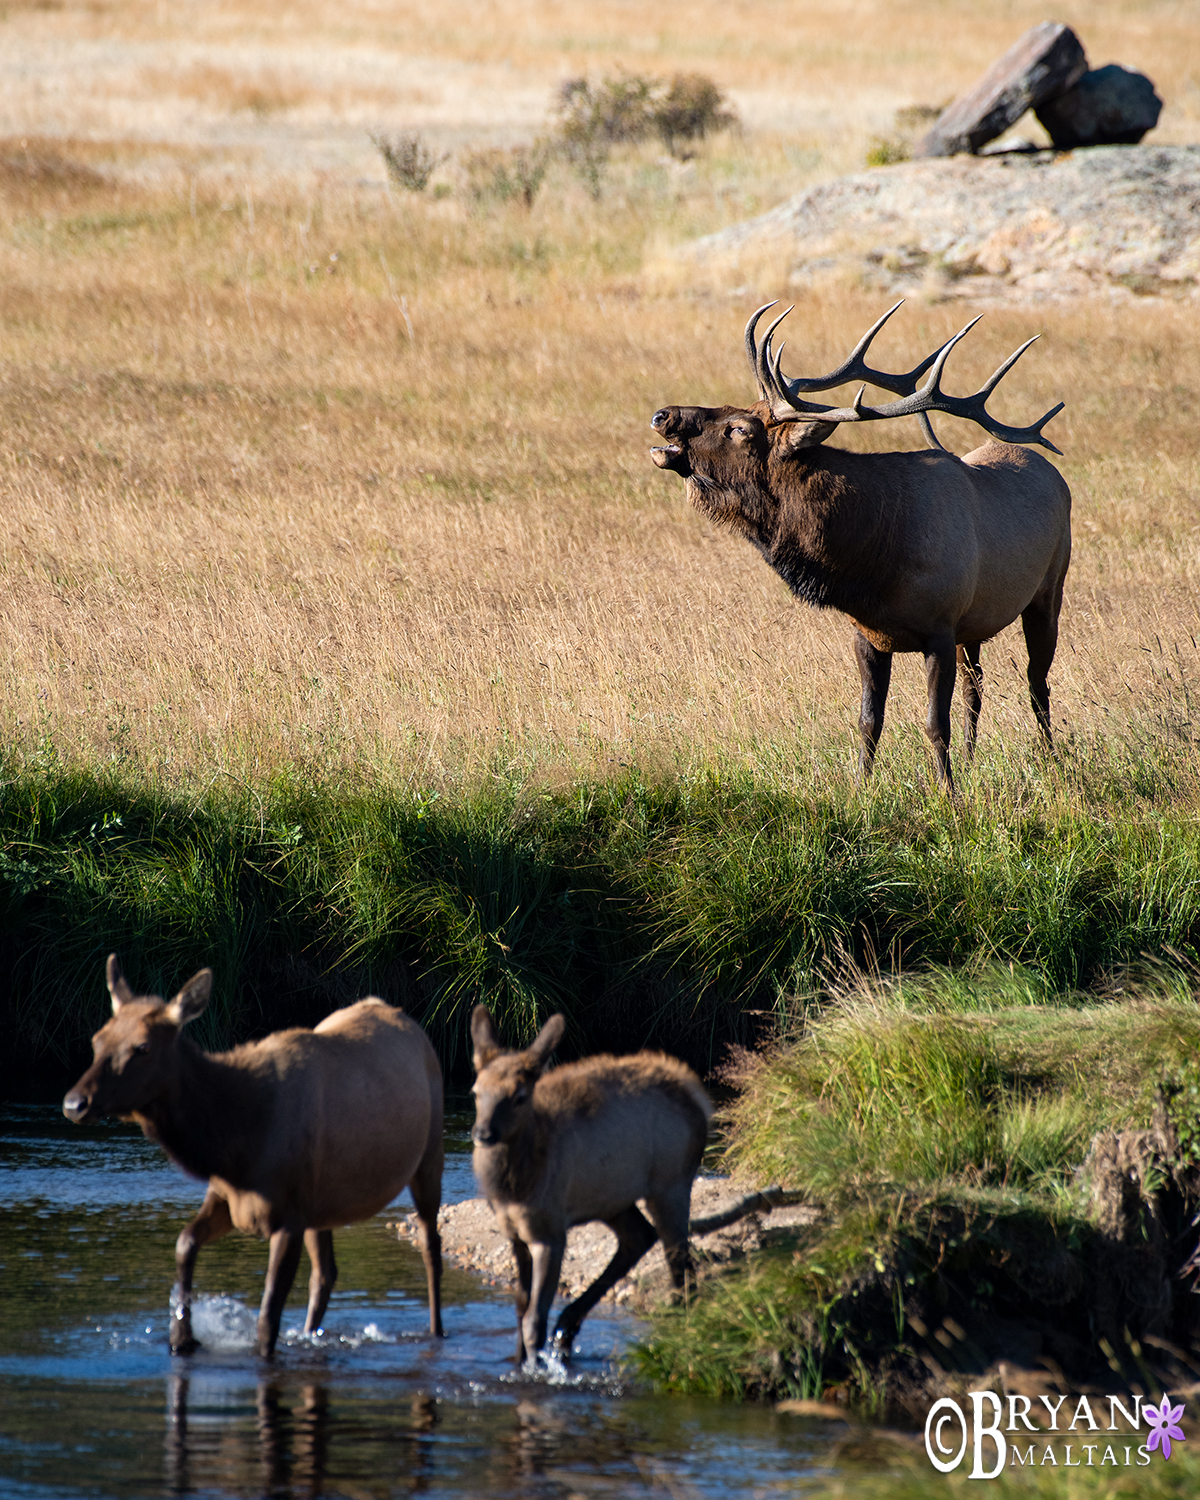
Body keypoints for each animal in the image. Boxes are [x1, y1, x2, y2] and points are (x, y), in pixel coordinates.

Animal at [62, 960, 444, 1362]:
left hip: (428, 1156)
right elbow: (185, 1242)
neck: (238, 1143)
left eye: (142, 1047)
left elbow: (267, 1316)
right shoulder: (229, 1199)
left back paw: (436, 1331)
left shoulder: (289, 1218)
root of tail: (407, 1021)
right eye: (97, 1040)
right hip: (322, 1205)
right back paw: (310, 1334)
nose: (74, 1103)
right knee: (325, 1273)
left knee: (430, 1246)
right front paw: (181, 1336)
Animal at [468, 1002, 714, 1368]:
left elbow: (533, 1321)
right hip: (611, 1198)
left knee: (680, 1261)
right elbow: (520, 1310)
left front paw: (535, 1368)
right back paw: (568, 1327)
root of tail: (698, 1096)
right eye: (476, 1092)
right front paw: (519, 1362)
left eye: (520, 1096)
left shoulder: (550, 1233)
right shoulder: (514, 1234)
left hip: (670, 1184)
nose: (483, 1133)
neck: (513, 1187)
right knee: (639, 1237)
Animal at [651, 300, 1074, 792]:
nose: (663, 416)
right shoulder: (868, 634)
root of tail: (1053, 473)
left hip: (1047, 593)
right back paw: (972, 762)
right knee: (977, 687)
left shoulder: (940, 629)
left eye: (739, 429)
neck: (872, 563)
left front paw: (948, 795)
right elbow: (868, 720)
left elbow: (935, 723)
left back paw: (1052, 762)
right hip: (977, 624)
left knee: (1037, 684)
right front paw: (860, 788)